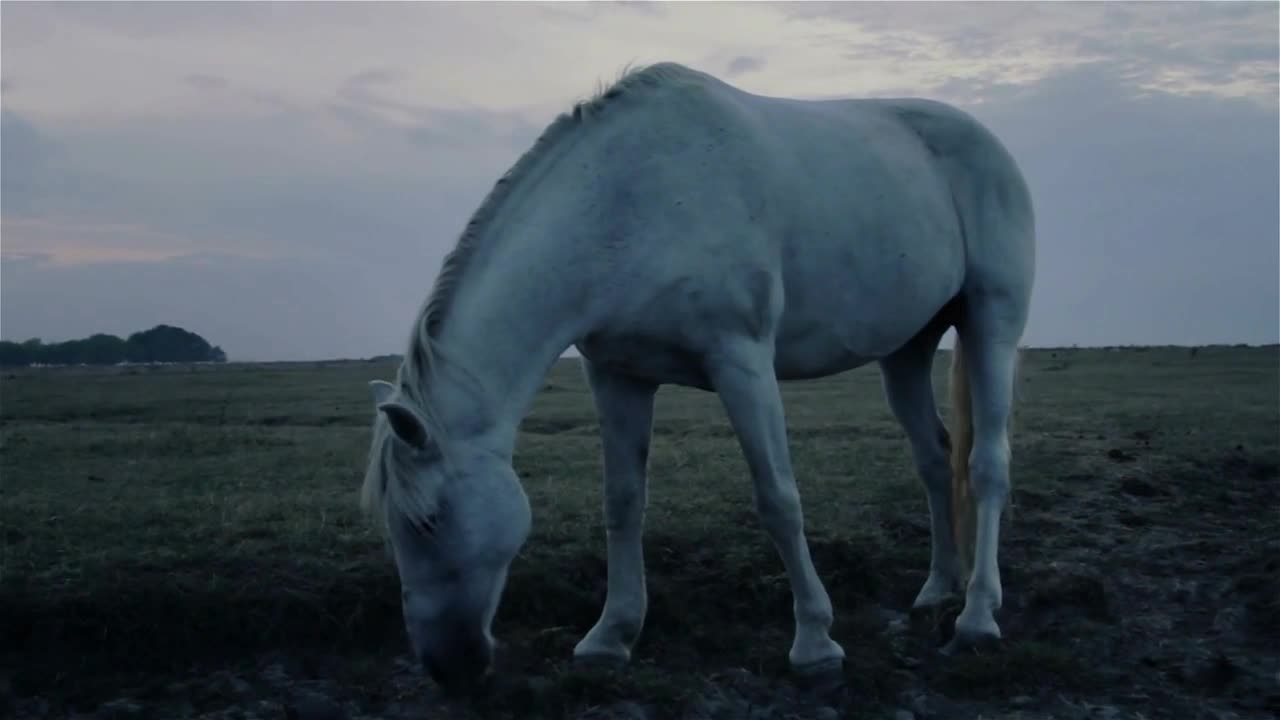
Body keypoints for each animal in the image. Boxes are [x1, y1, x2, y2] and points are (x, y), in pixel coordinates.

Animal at [358, 61, 1029, 691]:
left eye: (429, 520)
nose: (447, 665)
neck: (629, 202)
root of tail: (987, 143)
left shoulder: (741, 360)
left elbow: (778, 498)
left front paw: (816, 643)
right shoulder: (617, 375)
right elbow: (623, 501)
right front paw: (611, 636)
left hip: (991, 322)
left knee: (986, 465)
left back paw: (977, 618)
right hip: (906, 351)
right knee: (935, 460)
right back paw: (937, 588)